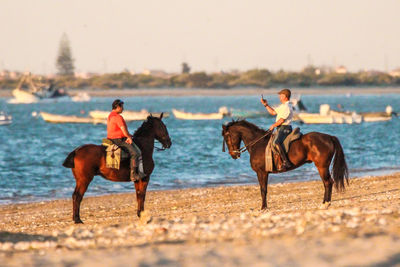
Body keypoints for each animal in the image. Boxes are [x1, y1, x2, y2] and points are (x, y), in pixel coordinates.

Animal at [220, 121, 348, 211]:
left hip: (322, 166)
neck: (258, 144)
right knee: (327, 183)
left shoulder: (262, 172)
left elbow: (263, 190)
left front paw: (263, 208)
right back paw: (325, 203)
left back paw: (325, 204)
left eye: (226, 137)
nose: (233, 155)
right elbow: (263, 190)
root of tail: (329, 137)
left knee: (328, 182)